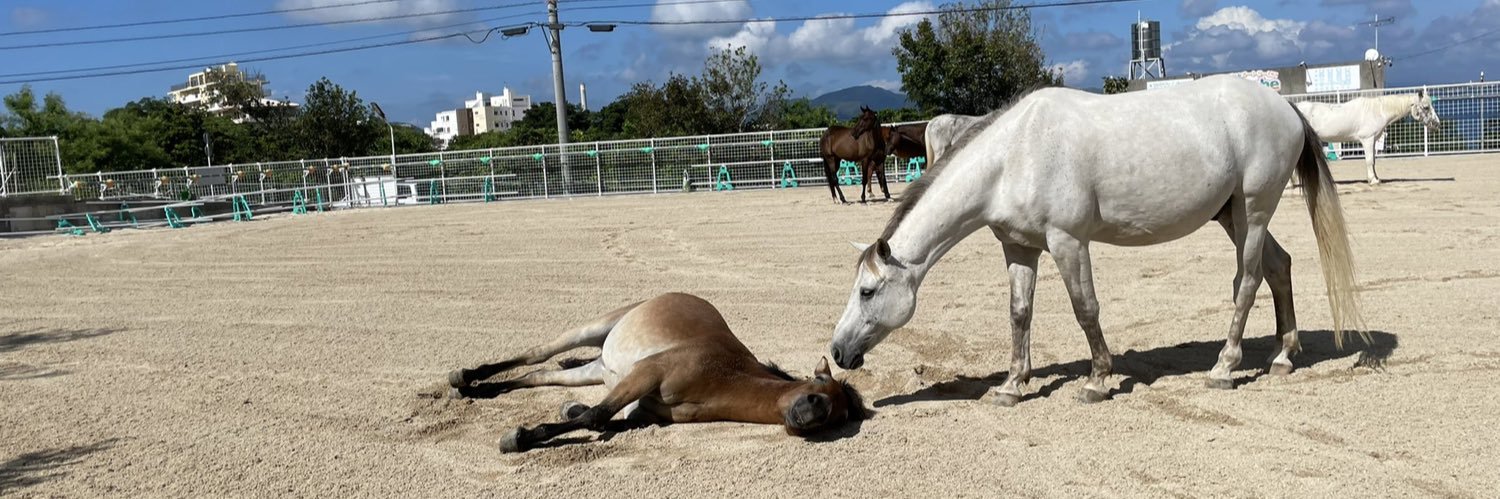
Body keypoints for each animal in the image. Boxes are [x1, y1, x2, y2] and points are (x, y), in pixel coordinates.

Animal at [447, 292, 867, 453]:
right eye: (817, 387)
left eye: (836, 418)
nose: (809, 415)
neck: (723, 376)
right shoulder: (647, 373)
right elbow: (597, 415)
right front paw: (519, 437)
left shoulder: (643, 411)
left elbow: (599, 418)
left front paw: (565, 412)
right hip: (592, 330)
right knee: (537, 355)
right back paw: (463, 376)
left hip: (596, 370)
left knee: (539, 376)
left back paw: (473, 390)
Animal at [828, 75, 1363, 407]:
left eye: (867, 292)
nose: (837, 353)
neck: (1015, 155)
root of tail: (1285, 107)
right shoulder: (1019, 248)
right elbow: (1019, 313)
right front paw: (1012, 385)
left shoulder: (1068, 242)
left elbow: (1085, 309)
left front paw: (1098, 379)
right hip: (1233, 216)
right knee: (1279, 266)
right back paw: (1282, 356)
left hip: (1252, 213)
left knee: (1247, 281)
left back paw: (1224, 367)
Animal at [1295, 90, 1440, 185]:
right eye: (1426, 107)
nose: (1437, 124)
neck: (1377, 111)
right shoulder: (1367, 140)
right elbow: (1369, 160)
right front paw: (1373, 180)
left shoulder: (1373, 140)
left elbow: (1373, 161)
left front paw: (1376, 178)